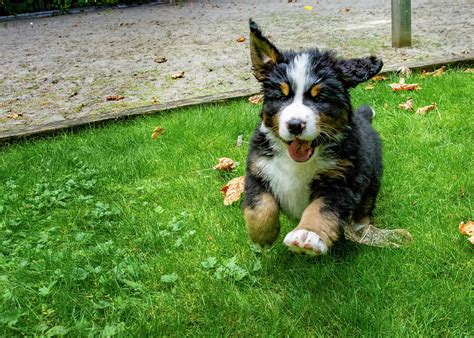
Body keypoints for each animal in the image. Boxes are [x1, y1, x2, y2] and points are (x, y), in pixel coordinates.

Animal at [243, 19, 384, 255]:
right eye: (282, 96)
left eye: (319, 98)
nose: (295, 125)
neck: (296, 162)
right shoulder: (257, 169)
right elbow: (261, 205)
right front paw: (262, 236)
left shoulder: (340, 181)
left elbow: (320, 209)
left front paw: (306, 235)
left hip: (372, 176)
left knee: (366, 204)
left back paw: (361, 227)